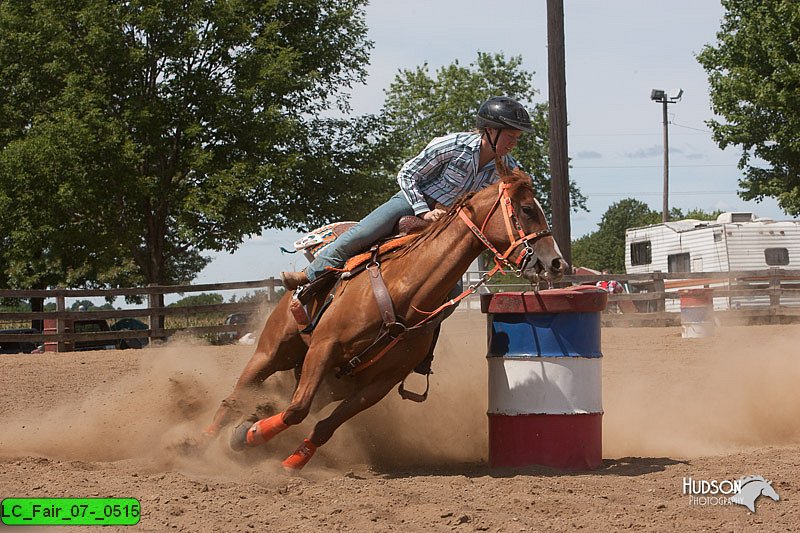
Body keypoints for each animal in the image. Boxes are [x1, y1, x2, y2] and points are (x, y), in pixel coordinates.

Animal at [206, 165, 568, 470]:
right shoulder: (324, 347)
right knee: (237, 393)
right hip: (273, 352)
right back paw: (205, 438)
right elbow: (296, 410)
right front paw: (246, 436)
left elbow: (323, 426)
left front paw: (290, 460)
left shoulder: (380, 383)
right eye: (527, 209)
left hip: (333, 383)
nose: (557, 263)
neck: (402, 290)